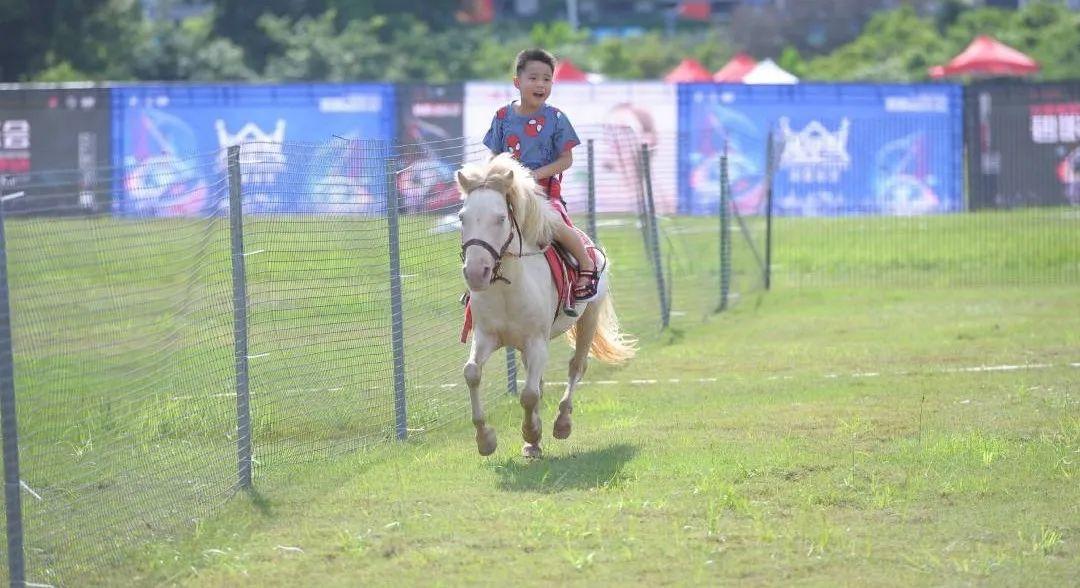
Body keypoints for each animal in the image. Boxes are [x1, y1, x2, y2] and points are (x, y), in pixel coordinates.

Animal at [453, 153, 630, 456]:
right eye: (462, 218)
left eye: (501, 218)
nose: (476, 273)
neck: (507, 288)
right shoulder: (487, 337)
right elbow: (472, 373)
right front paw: (486, 439)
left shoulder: (537, 342)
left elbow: (528, 394)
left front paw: (531, 432)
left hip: (589, 319)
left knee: (576, 367)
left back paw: (562, 423)